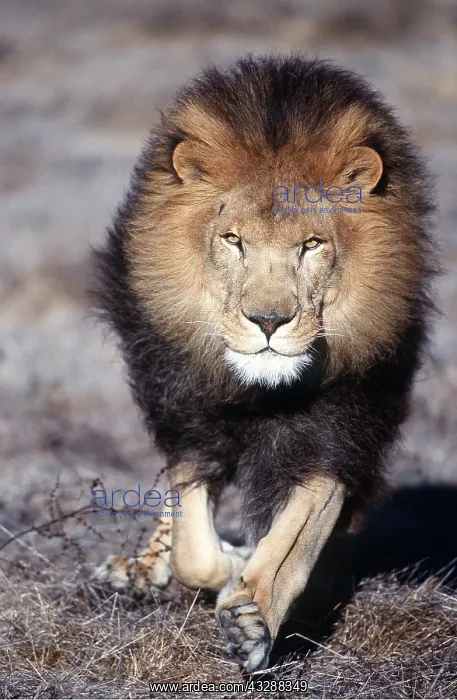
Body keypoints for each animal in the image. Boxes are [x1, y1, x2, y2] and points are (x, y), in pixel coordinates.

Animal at [93, 55, 436, 672]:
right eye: (233, 240)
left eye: (312, 244)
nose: (269, 322)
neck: (260, 391)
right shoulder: (190, 418)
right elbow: (193, 550)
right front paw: (221, 565)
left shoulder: (337, 430)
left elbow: (298, 532)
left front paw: (252, 616)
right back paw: (140, 570)